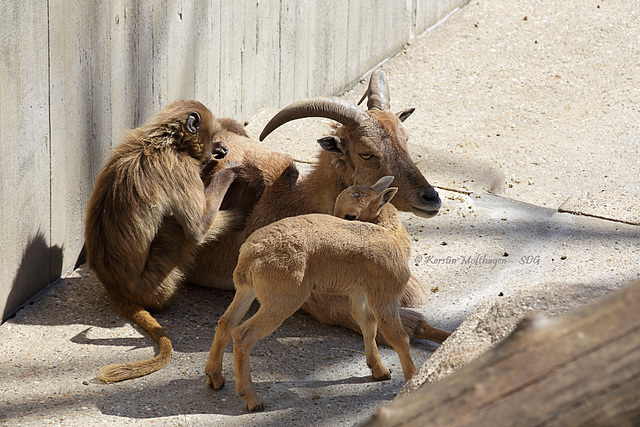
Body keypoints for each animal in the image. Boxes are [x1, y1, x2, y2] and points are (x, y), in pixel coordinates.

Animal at [202, 176, 418, 412]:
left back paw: (215, 378)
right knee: (242, 335)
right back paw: (252, 399)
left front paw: (380, 371)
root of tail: (251, 255)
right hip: (282, 299)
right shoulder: (385, 295)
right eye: (350, 215)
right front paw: (413, 381)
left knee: (226, 322)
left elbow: (368, 326)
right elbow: (399, 338)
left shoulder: (359, 293)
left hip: (247, 290)